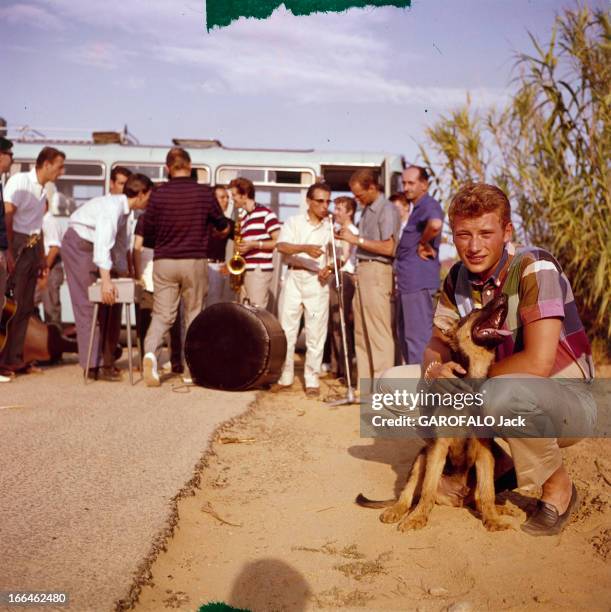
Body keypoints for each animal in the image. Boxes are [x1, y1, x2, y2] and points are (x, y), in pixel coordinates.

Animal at [356, 292, 520, 532]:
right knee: (411, 493)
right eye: (474, 311)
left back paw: (501, 509)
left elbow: (487, 491)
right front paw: (416, 518)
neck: (471, 383)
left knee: (479, 498)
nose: (503, 295)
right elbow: (426, 491)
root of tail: (457, 498)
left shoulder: (484, 449)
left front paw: (492, 519)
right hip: (422, 457)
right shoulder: (438, 447)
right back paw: (397, 510)